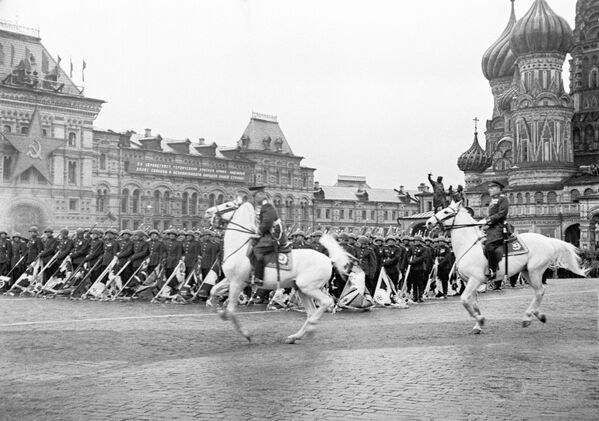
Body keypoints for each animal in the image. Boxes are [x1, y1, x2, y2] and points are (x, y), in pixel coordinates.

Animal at [205, 197, 352, 342]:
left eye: (227, 205)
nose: (208, 212)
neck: (239, 248)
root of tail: (328, 259)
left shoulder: (237, 282)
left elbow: (231, 311)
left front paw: (245, 333)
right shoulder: (230, 280)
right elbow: (213, 290)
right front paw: (216, 308)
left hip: (309, 287)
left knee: (326, 302)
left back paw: (310, 327)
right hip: (302, 289)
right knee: (311, 311)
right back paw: (296, 336)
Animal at [426, 202, 592, 334]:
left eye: (446, 212)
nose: (428, 222)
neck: (469, 246)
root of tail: (547, 240)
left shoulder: (475, 279)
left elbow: (464, 300)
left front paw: (480, 320)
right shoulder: (469, 281)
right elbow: (473, 303)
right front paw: (478, 325)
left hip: (535, 271)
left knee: (540, 291)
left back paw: (528, 317)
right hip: (526, 272)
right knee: (539, 291)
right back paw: (536, 315)